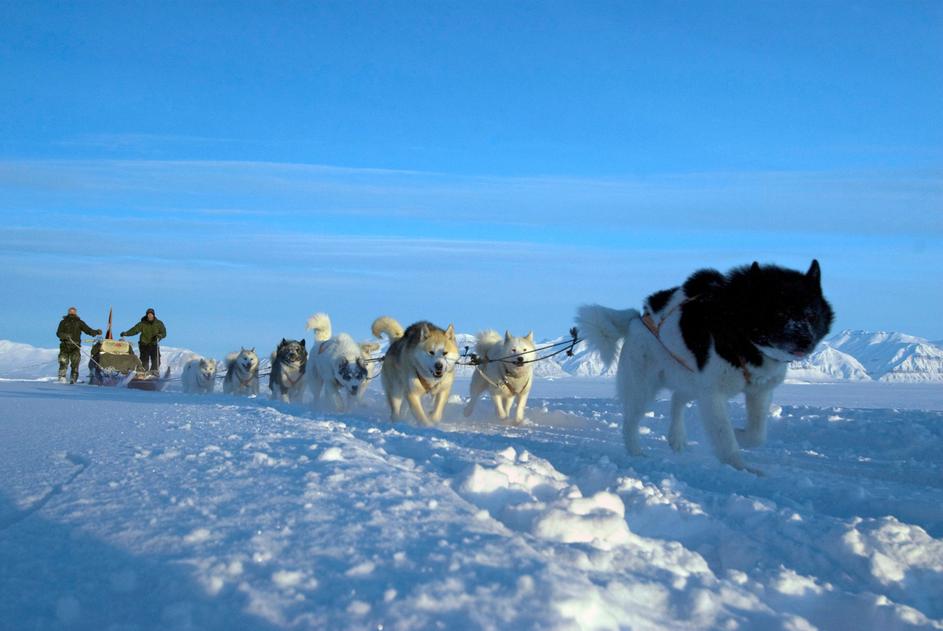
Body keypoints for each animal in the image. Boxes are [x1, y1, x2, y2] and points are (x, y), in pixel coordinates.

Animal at [580, 260, 836, 472]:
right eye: (780, 313)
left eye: (811, 315)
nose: (805, 340)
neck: (740, 334)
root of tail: (637, 318)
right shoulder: (713, 394)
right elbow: (724, 436)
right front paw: (742, 467)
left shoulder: (759, 391)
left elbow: (757, 435)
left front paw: (740, 435)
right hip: (643, 387)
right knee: (630, 422)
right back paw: (636, 452)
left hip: (690, 380)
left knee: (677, 399)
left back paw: (677, 437)